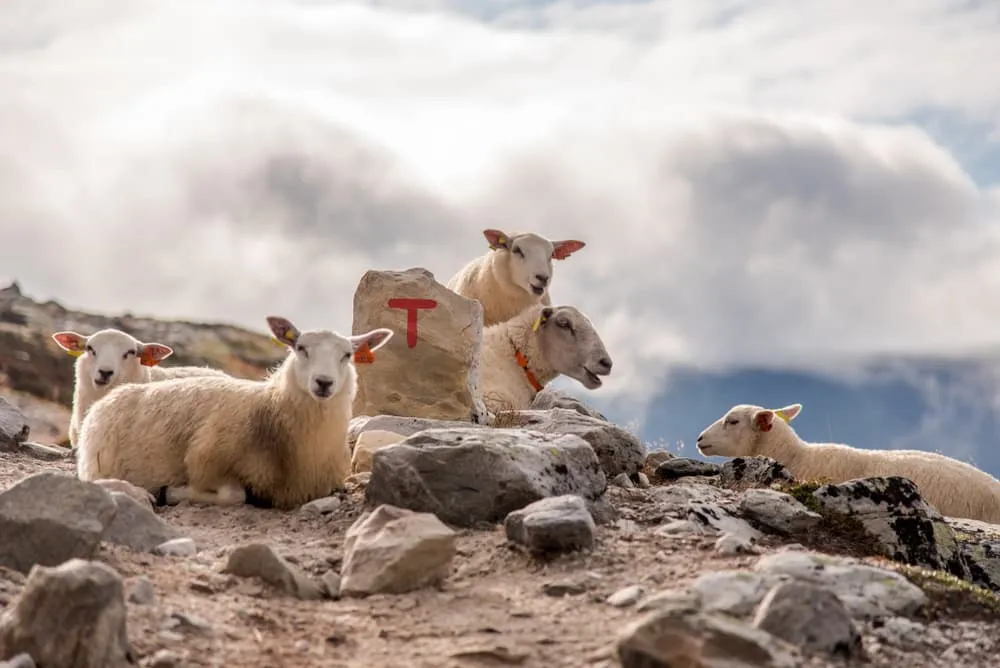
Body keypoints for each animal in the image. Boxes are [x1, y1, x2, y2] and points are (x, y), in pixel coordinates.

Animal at [74, 316, 392, 508]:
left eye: (347, 355)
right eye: (301, 348)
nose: (324, 382)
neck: (272, 410)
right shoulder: (204, 459)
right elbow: (234, 495)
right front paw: (171, 492)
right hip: (98, 464)